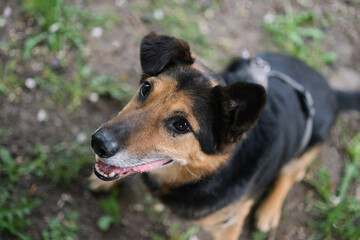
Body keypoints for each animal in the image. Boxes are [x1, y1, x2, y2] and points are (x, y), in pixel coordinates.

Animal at [88, 32, 360, 239]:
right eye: (146, 88)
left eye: (182, 125)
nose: (98, 143)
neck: (209, 172)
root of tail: (331, 90)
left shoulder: (227, 227)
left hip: (308, 145)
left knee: (291, 174)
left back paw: (269, 210)